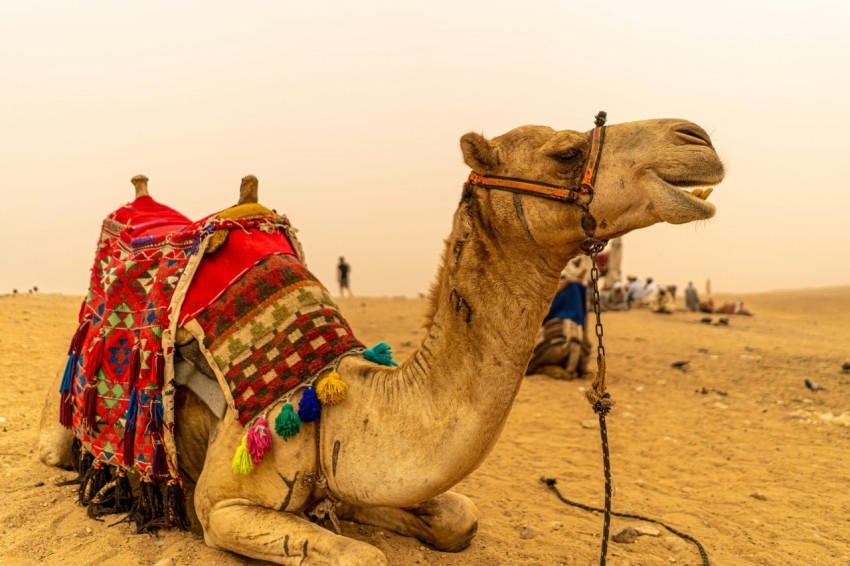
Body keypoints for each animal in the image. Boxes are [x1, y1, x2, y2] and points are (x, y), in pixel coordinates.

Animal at [38, 115, 724, 565]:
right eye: (567, 151)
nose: (697, 138)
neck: (337, 404)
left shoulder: (356, 477)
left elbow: (456, 518)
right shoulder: (220, 506)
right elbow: (360, 555)